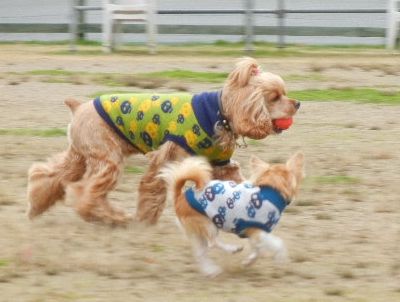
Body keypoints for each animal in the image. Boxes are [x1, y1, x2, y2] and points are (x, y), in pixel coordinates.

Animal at [26, 57, 300, 226]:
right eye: (275, 96)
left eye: (284, 93)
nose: (298, 103)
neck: (221, 113)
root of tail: (79, 106)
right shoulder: (167, 157)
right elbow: (153, 188)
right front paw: (145, 219)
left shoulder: (222, 165)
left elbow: (239, 183)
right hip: (108, 158)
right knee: (86, 192)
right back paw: (114, 218)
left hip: (80, 156)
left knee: (49, 176)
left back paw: (36, 206)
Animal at [159, 152, 304, 278]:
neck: (272, 191)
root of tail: (179, 197)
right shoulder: (257, 230)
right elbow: (278, 243)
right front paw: (281, 257)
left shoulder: (253, 234)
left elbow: (258, 250)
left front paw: (248, 262)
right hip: (208, 225)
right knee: (212, 243)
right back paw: (233, 249)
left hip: (198, 232)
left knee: (200, 253)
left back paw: (211, 271)